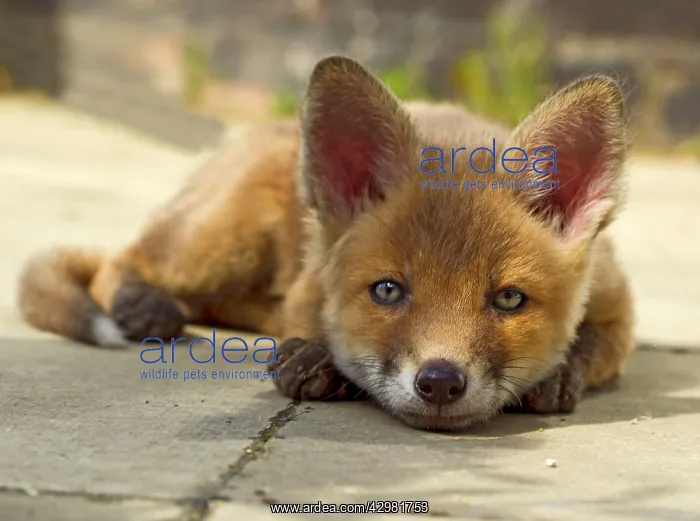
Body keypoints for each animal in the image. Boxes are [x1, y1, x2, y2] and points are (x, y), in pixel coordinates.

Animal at [17, 56, 635, 431]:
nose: (439, 383)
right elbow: (316, 326)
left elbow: (590, 347)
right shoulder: (308, 285)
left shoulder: (616, 307)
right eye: (387, 291)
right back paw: (144, 306)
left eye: (508, 299)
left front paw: (558, 372)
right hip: (221, 241)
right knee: (121, 259)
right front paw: (318, 354)